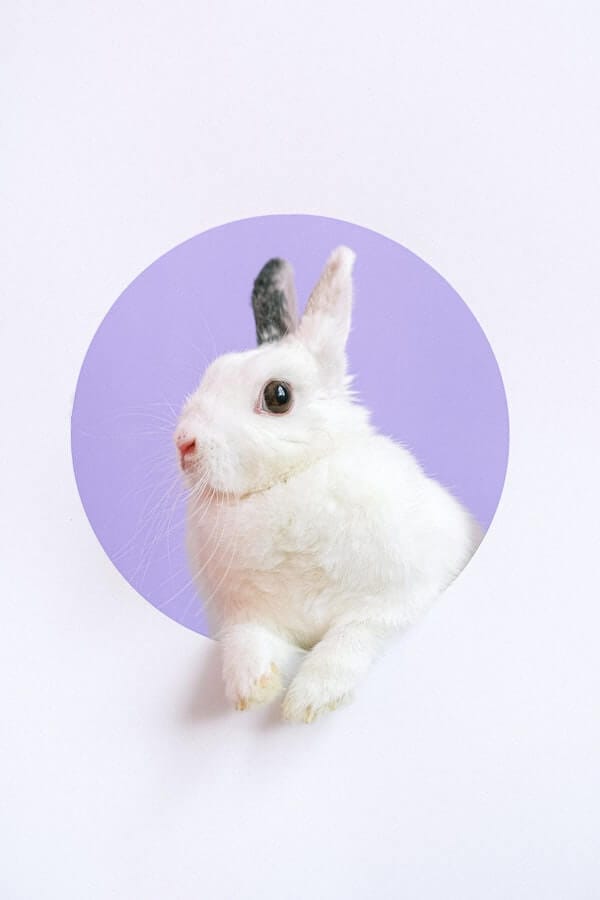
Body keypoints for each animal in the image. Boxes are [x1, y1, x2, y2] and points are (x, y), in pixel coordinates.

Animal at [174, 246, 482, 723]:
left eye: (278, 396)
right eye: (213, 374)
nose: (183, 443)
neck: (290, 481)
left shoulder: (397, 601)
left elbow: (350, 640)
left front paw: (309, 700)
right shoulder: (244, 615)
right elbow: (247, 641)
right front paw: (251, 689)